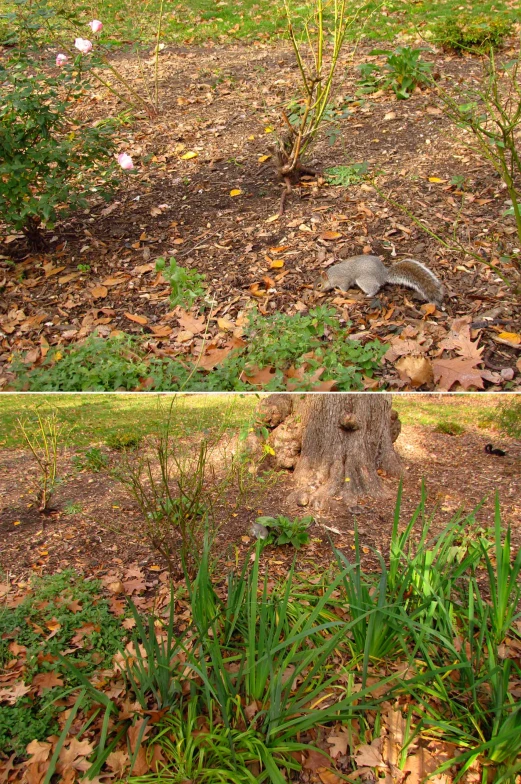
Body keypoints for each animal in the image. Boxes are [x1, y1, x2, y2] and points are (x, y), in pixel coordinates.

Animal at [314, 256, 444, 308]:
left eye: (319, 285)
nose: (316, 293)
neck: (331, 276)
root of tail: (383, 274)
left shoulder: (342, 280)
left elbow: (344, 287)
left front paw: (338, 291)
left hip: (363, 280)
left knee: (375, 288)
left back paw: (368, 295)